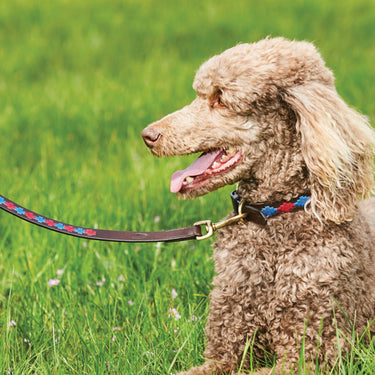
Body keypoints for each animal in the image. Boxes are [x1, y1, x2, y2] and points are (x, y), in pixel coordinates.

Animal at [142, 38, 375, 375]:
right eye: (200, 94)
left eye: (220, 99)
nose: (148, 136)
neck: (272, 215)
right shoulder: (224, 348)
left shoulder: (308, 355)